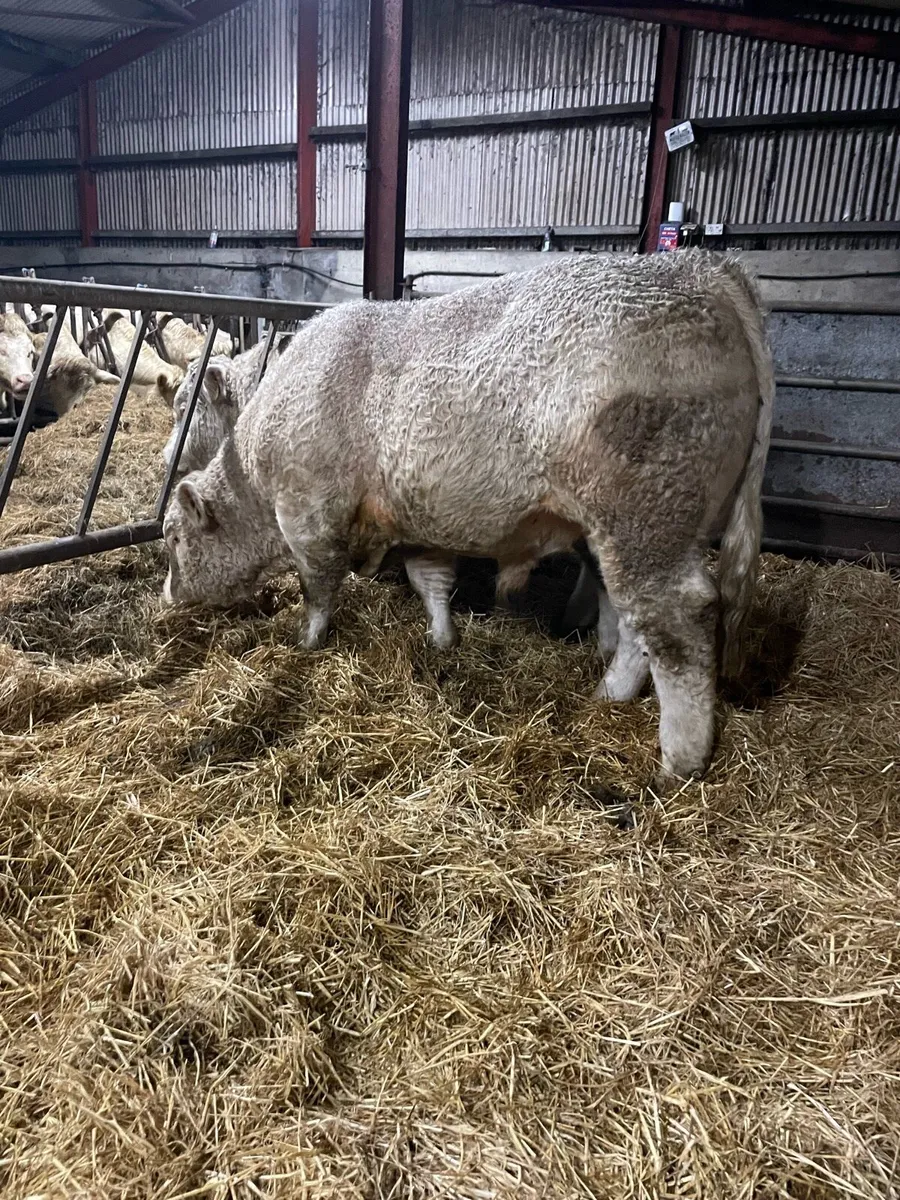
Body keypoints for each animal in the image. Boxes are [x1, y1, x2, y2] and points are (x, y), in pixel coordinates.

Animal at [160, 252, 774, 785]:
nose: (167, 594)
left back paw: (678, 759)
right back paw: (610, 692)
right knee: (630, 619)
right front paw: (441, 638)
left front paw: (307, 644)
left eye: (172, 539)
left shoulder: (308, 513)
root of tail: (702, 268)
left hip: (646, 518)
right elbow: (430, 581)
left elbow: (318, 587)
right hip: (620, 529)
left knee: (674, 622)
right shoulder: (417, 520)